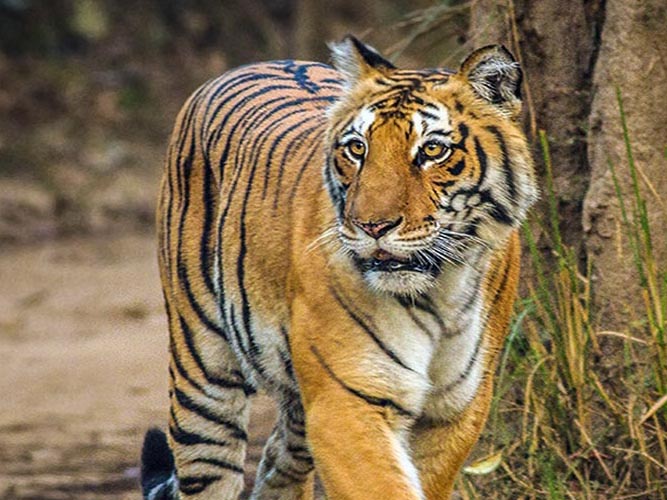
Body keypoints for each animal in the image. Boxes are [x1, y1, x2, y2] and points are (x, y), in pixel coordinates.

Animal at [140, 36, 538, 500]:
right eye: (357, 148)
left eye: (432, 150)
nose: (373, 226)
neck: (439, 291)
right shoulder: (346, 399)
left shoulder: (456, 408)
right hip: (202, 372)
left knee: (280, 461)